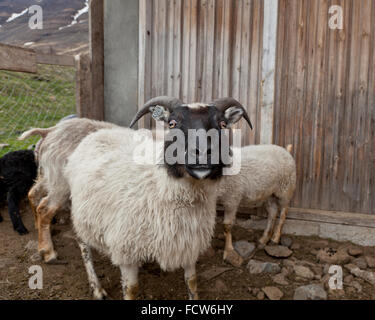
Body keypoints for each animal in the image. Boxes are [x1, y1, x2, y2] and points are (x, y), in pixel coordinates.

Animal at [17, 117, 117, 262]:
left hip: (47, 175)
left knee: (33, 193)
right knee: (45, 208)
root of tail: (50, 131)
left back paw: (38, 227)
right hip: (61, 180)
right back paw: (48, 252)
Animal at [65, 95, 253, 300]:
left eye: (222, 124)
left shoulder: (188, 245)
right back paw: (97, 288)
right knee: (83, 246)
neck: (159, 186)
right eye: (172, 124)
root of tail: (99, 133)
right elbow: (131, 289)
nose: (202, 152)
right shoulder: (126, 250)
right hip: (80, 211)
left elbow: (192, 282)